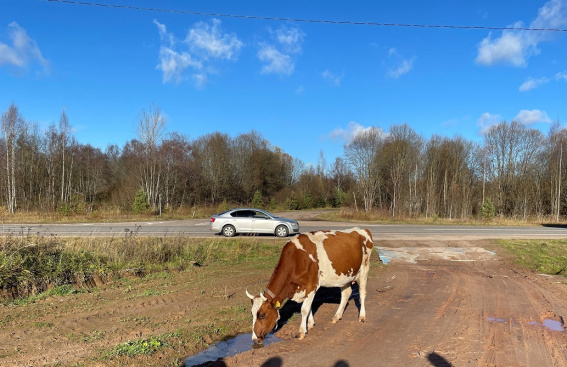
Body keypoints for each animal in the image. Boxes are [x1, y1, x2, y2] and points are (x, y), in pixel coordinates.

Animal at [246, 227, 374, 344]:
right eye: (252, 314)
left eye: (262, 315)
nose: (254, 339)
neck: (297, 259)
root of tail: (363, 229)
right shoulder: (304, 289)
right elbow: (309, 306)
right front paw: (310, 324)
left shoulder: (312, 285)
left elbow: (304, 309)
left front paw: (301, 332)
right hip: (344, 275)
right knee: (346, 294)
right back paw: (337, 316)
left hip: (364, 270)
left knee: (362, 293)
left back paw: (362, 317)